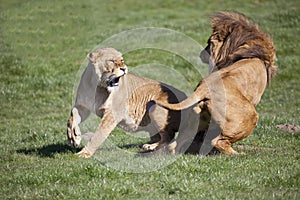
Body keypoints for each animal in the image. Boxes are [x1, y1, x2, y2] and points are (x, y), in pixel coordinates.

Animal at [157, 11, 276, 154]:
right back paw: (238, 154)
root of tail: (203, 89)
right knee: (218, 141)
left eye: (208, 43)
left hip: (196, 119)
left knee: (174, 145)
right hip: (249, 116)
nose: (201, 54)